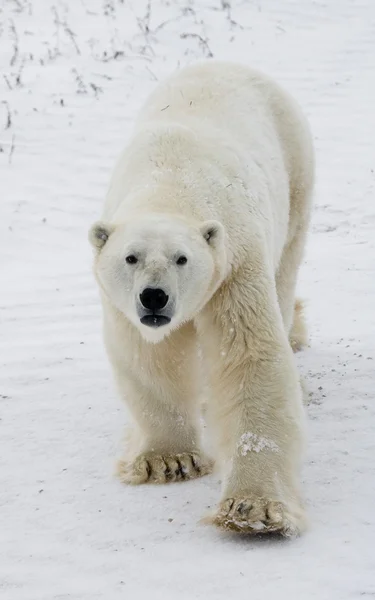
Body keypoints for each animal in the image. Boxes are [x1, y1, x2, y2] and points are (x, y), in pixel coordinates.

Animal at [89, 61, 316, 536]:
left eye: (182, 258)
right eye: (131, 257)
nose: (154, 298)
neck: (172, 182)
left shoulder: (234, 263)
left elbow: (251, 357)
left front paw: (253, 510)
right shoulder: (122, 307)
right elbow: (148, 358)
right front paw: (168, 460)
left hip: (297, 175)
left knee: (286, 273)